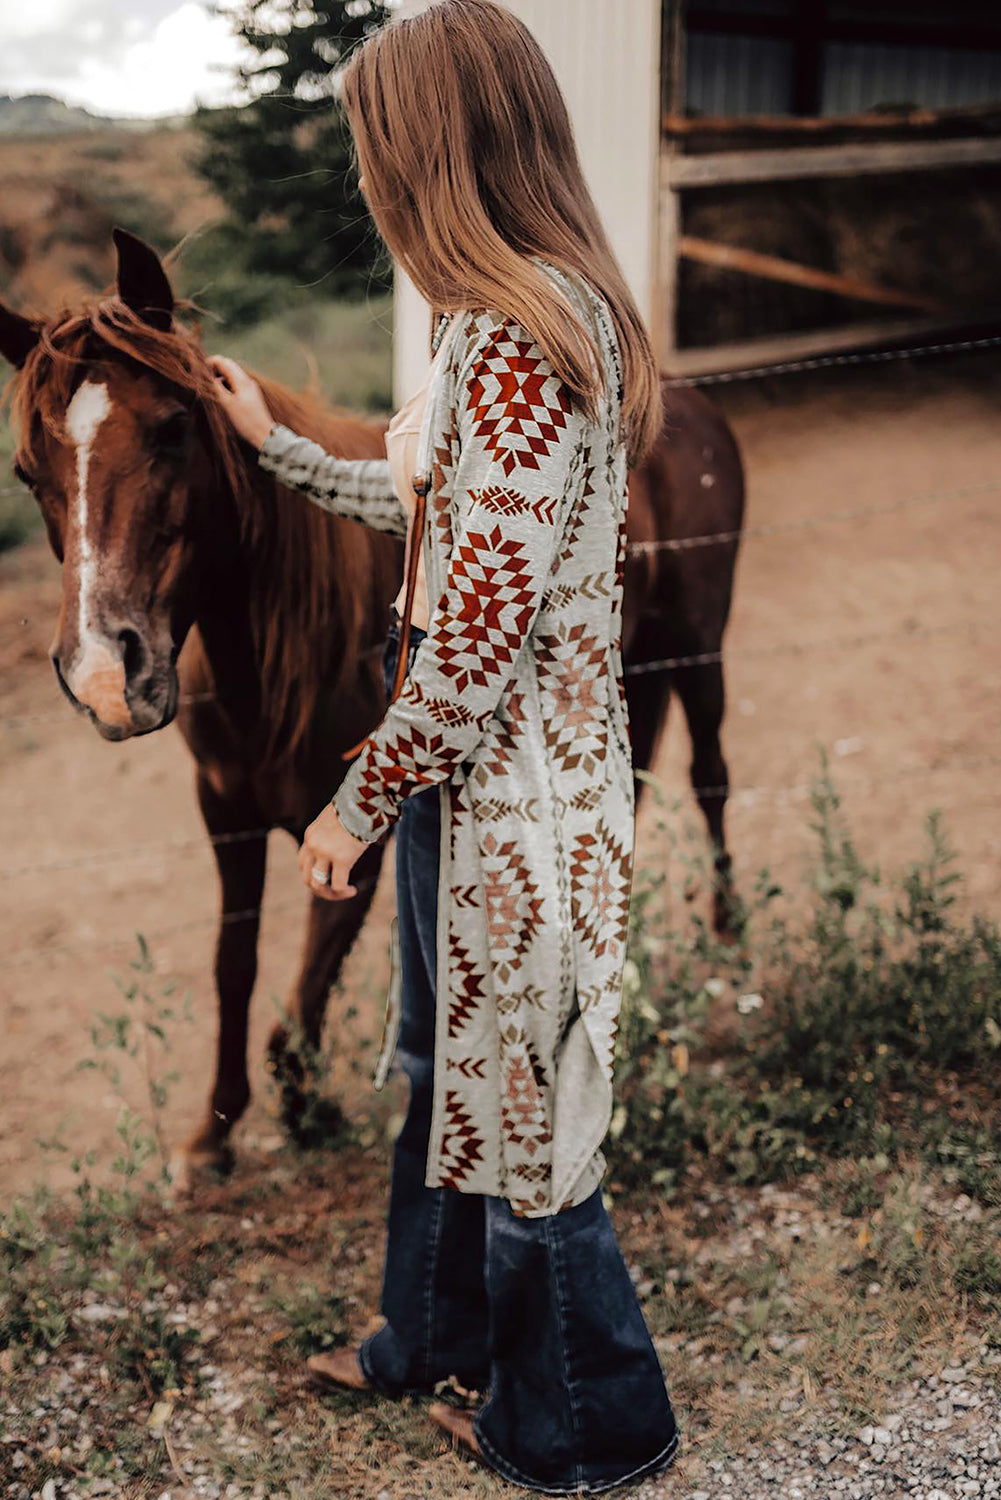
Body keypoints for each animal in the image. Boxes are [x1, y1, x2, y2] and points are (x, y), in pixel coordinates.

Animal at [1, 225, 744, 1182]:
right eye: (28, 471)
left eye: (172, 429)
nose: (104, 675)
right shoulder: (224, 815)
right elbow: (234, 967)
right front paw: (214, 1131)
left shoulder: (353, 834)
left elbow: (302, 995)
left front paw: (305, 1106)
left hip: (699, 647)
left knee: (711, 776)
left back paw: (728, 934)